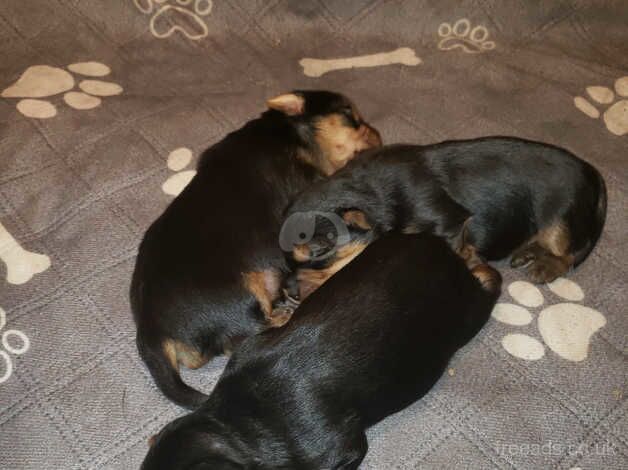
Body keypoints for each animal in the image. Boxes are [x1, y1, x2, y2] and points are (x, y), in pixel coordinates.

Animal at [130, 90, 380, 410]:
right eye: (350, 114)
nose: (377, 134)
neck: (290, 133)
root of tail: (150, 334)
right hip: (241, 294)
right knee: (246, 332)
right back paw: (286, 312)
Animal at [141, 234, 500, 470]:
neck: (236, 423)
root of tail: (440, 248)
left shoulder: (341, 450)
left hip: (467, 314)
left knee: (489, 282)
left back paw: (478, 261)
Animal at [282, 136, 604, 294]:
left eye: (318, 251)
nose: (291, 293)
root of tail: (592, 172)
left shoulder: (447, 222)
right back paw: (528, 253)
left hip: (561, 220)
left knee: (569, 253)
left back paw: (544, 266)